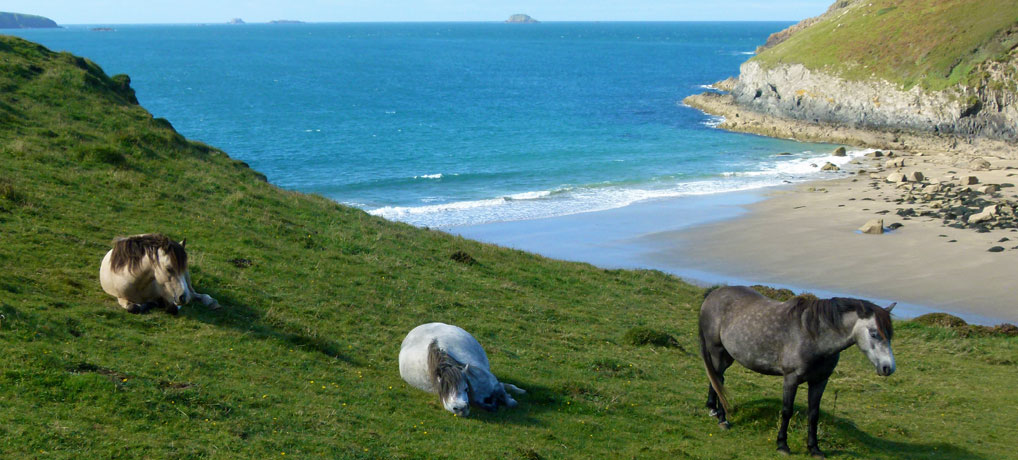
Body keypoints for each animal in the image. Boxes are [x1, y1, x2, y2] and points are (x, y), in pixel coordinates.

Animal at [698, 286, 895, 457]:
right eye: (873, 333)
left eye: (889, 335)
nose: (888, 368)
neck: (813, 335)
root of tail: (713, 294)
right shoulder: (791, 379)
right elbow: (787, 411)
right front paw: (782, 445)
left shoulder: (819, 381)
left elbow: (814, 414)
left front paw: (814, 449)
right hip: (717, 352)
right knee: (718, 380)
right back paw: (722, 419)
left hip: (727, 356)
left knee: (717, 379)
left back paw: (713, 408)